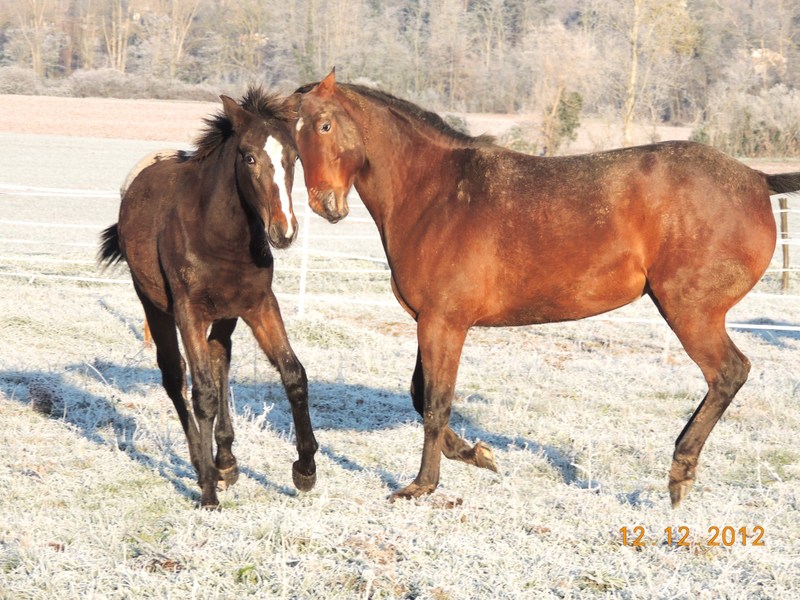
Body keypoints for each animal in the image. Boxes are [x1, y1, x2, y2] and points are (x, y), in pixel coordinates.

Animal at [97, 88, 316, 506]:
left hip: (227, 315)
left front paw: (305, 470)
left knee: (219, 358)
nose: (284, 231)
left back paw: (226, 461)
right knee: (175, 376)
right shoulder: (189, 311)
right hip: (154, 306)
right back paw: (206, 469)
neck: (220, 235)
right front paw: (209, 493)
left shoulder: (259, 304)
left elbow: (293, 373)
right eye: (249, 157)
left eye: (294, 157)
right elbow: (202, 393)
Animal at [294, 70, 800, 508]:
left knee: (729, 373)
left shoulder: (444, 322)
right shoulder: (429, 321)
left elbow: (436, 404)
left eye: (324, 125)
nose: (324, 205)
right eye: (293, 142)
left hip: (690, 310)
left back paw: (680, 473)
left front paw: (421, 486)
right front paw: (478, 455)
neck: (434, 193)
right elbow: (421, 396)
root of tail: (757, 179)